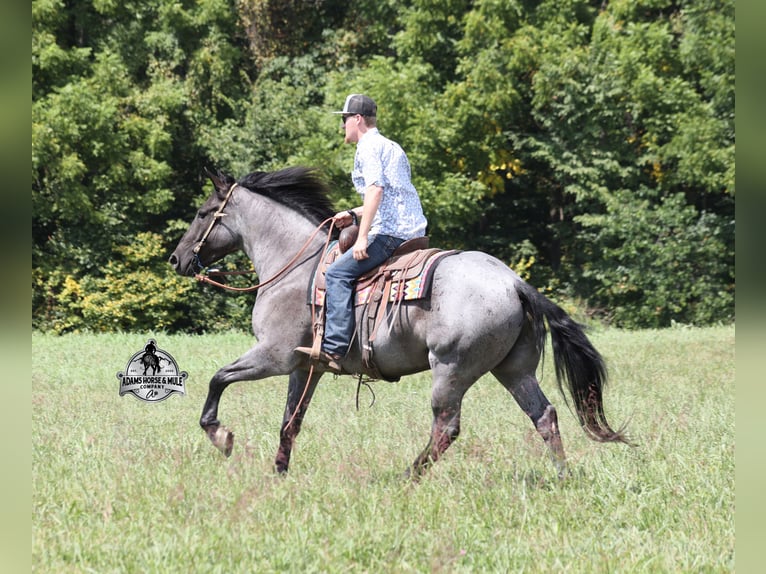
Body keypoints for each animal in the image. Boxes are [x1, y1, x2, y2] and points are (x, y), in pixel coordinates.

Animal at [168, 166, 630, 478]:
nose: (176, 258)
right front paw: (279, 472)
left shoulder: (274, 356)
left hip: (451, 369)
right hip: (514, 370)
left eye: (203, 212)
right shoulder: (305, 366)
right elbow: (289, 422)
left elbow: (218, 378)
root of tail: (515, 283)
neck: (295, 266)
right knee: (544, 415)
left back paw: (409, 476)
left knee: (447, 427)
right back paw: (562, 475)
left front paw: (220, 436)